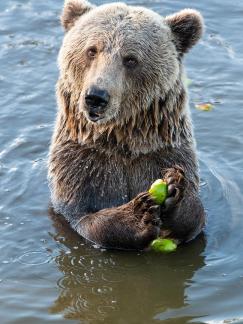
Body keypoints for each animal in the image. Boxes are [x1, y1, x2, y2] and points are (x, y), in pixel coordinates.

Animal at [48, 0, 206, 251]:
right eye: (92, 50)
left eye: (130, 59)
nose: (96, 97)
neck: (122, 140)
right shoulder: (83, 164)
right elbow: (82, 218)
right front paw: (138, 213)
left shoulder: (162, 152)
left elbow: (195, 216)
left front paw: (176, 188)